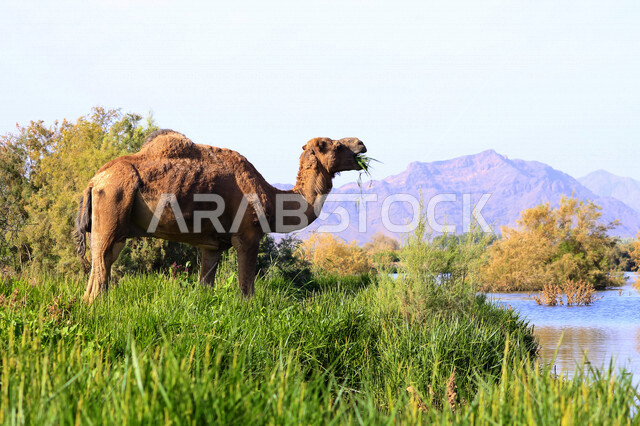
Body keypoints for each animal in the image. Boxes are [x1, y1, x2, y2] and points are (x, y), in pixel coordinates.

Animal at [73, 130, 367, 303]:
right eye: (335, 145)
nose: (362, 143)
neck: (271, 198)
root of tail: (94, 180)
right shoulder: (248, 235)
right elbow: (246, 287)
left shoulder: (212, 245)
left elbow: (206, 283)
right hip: (114, 199)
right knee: (101, 261)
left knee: (104, 260)